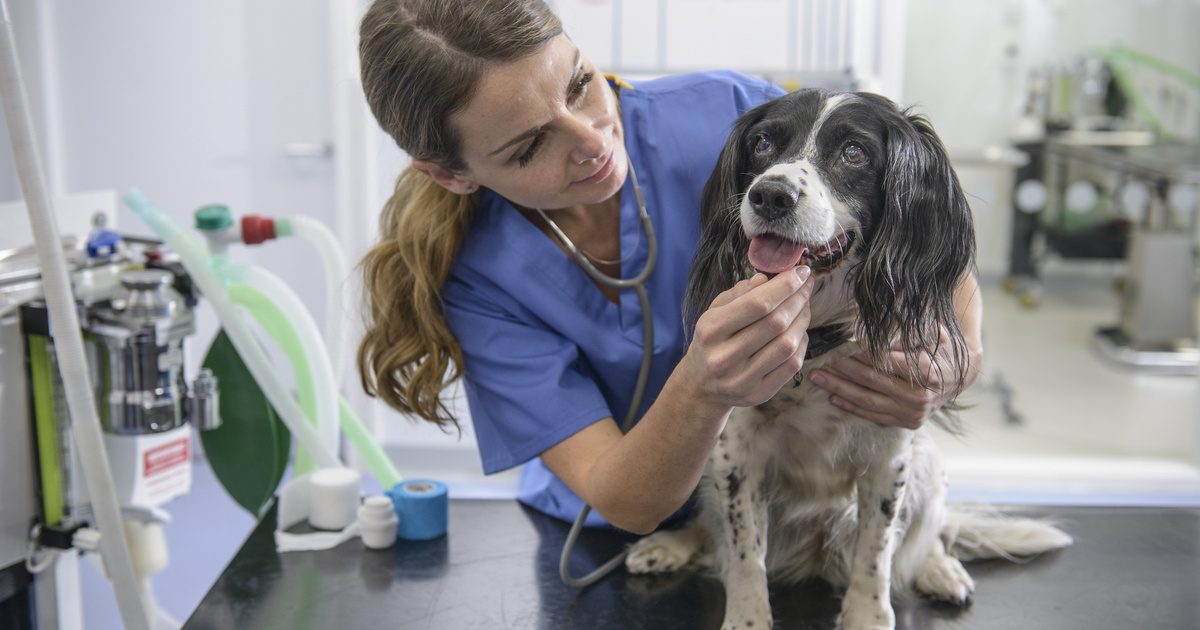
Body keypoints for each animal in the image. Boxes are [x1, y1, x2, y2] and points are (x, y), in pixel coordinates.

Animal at [624, 88, 1075, 628]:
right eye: (762, 142)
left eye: (854, 152)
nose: (770, 195)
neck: (817, 339)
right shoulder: (736, 452)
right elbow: (745, 554)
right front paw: (748, 617)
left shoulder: (890, 455)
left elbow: (874, 556)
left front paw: (868, 615)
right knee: (712, 534)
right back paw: (668, 545)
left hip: (927, 464)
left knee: (931, 535)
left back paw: (940, 570)